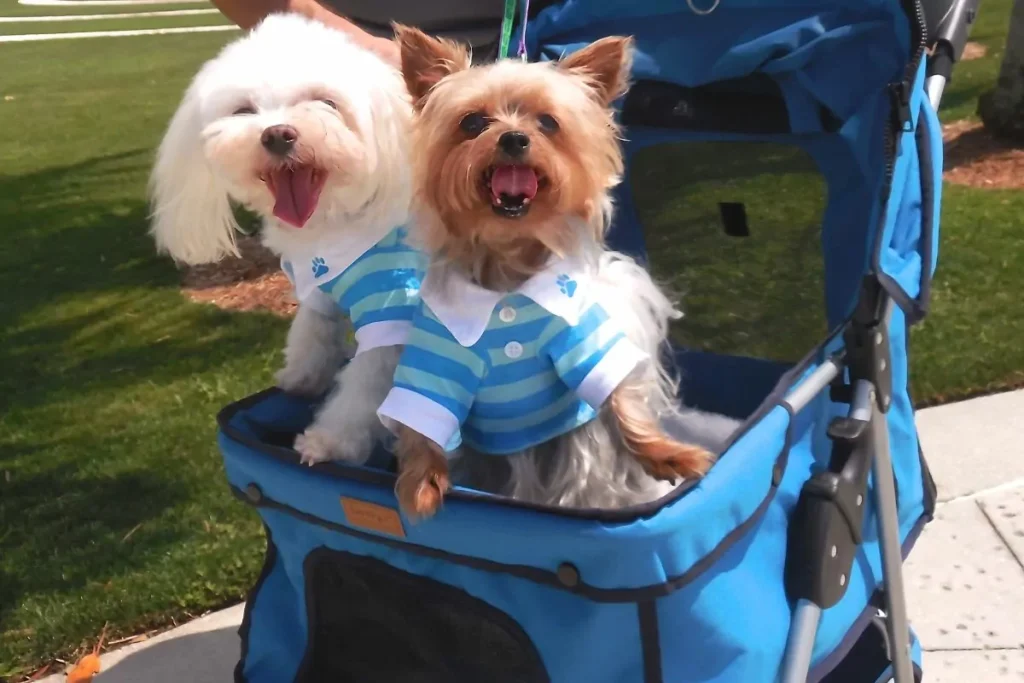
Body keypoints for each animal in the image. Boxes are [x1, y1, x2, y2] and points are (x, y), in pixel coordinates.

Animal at [148, 13, 419, 466]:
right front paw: (301, 377)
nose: (277, 134)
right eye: (243, 110)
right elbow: (311, 330)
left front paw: (329, 442)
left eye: (327, 102)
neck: (332, 225)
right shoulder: (318, 289)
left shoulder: (392, 308)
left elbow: (364, 387)